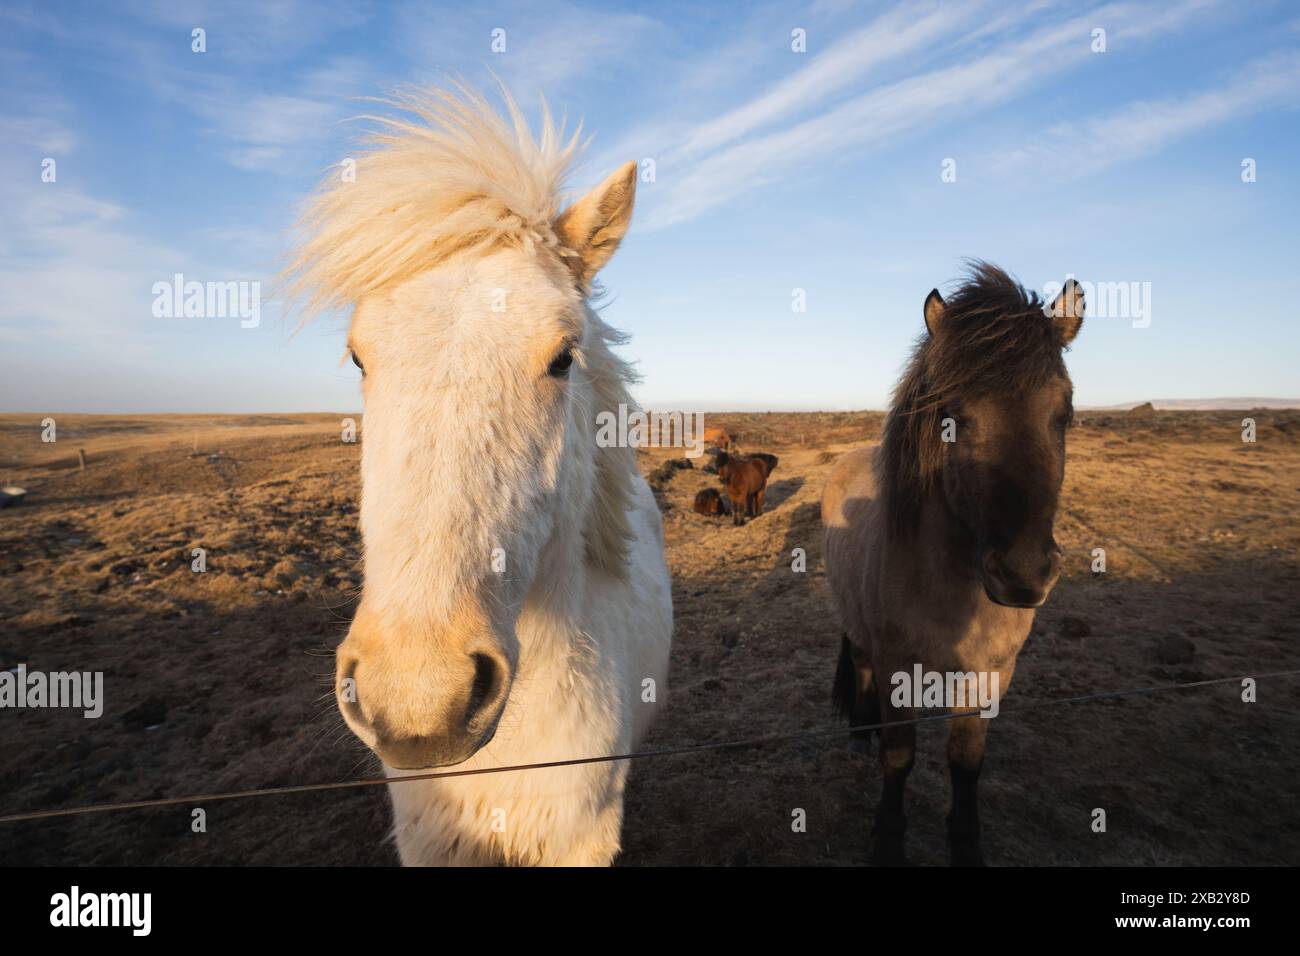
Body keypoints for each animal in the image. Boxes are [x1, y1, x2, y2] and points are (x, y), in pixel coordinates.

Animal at [822, 263, 1083, 866]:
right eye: (952, 417)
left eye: (1065, 412)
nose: (1023, 575)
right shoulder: (898, 666)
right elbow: (899, 758)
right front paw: (888, 839)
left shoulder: (992, 673)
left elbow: (966, 763)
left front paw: (965, 842)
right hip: (857, 627)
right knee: (861, 665)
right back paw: (859, 736)